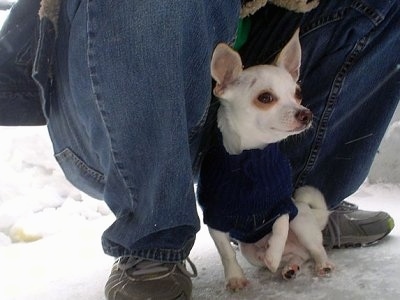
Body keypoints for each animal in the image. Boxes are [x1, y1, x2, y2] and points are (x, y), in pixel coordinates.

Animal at [200, 28, 334, 290]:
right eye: (265, 98)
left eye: (298, 94)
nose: (306, 113)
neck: (251, 159)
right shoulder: (214, 218)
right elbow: (225, 251)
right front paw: (235, 277)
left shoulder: (283, 204)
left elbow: (280, 225)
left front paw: (273, 253)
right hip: (249, 249)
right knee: (296, 257)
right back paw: (288, 267)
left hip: (301, 221)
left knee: (316, 249)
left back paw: (317, 263)